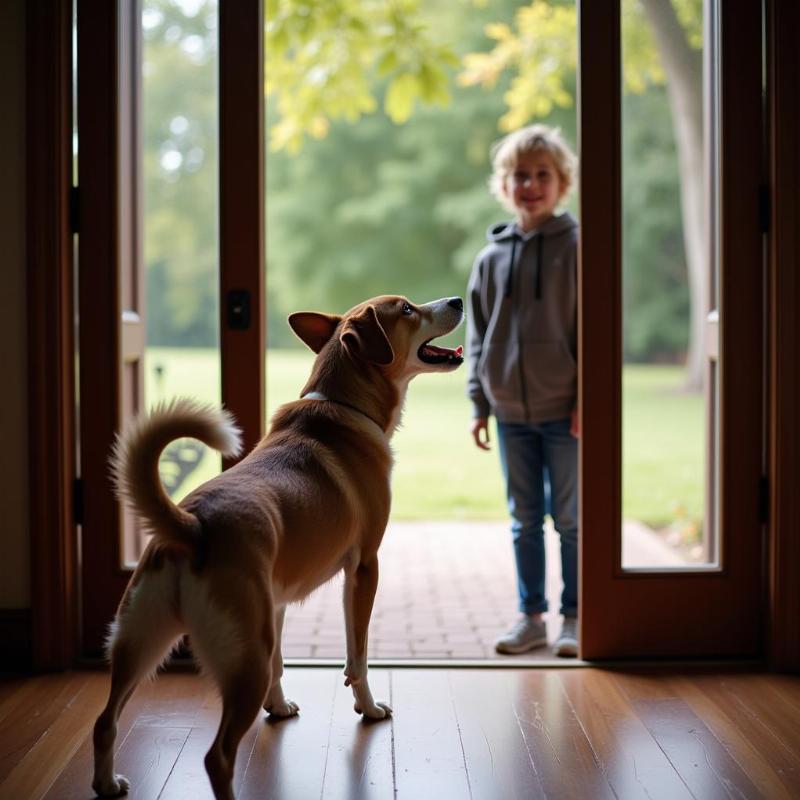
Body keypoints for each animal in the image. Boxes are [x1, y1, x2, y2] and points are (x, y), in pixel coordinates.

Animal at [92, 296, 462, 800]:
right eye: (406, 309)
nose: (458, 301)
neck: (343, 405)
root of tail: (192, 526)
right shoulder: (364, 570)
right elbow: (358, 657)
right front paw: (367, 709)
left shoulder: (279, 599)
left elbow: (283, 663)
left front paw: (280, 706)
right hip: (244, 655)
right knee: (217, 757)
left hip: (140, 641)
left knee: (105, 721)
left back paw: (106, 782)